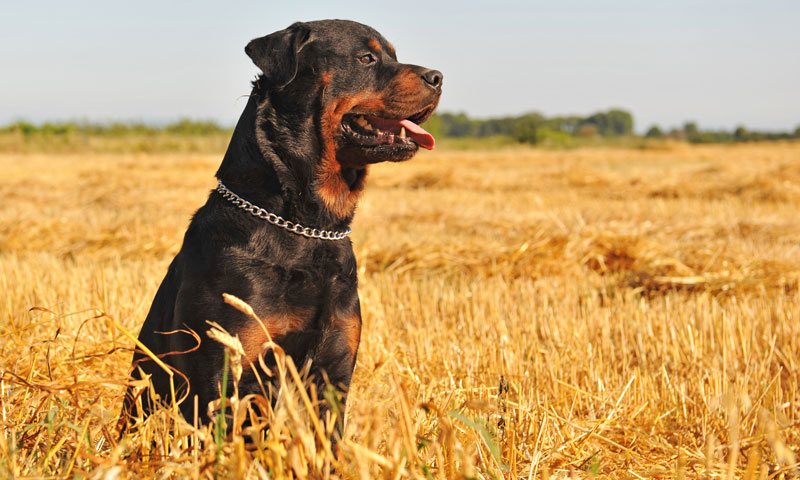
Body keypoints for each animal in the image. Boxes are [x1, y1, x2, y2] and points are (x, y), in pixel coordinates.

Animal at [122, 19, 440, 436]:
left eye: (393, 56)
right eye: (366, 58)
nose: (437, 77)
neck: (307, 226)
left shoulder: (334, 370)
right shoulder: (227, 372)